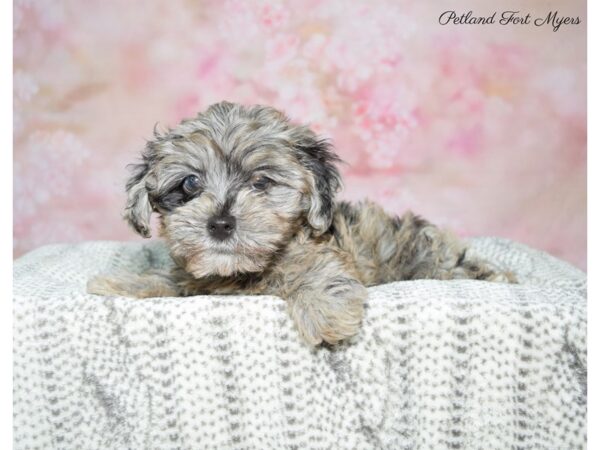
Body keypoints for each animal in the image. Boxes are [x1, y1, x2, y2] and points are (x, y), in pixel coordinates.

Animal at [89, 102, 516, 346]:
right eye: (190, 185)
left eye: (261, 183)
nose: (221, 224)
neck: (243, 272)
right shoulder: (193, 281)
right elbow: (170, 282)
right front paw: (124, 283)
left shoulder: (328, 253)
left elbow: (320, 271)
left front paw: (325, 310)